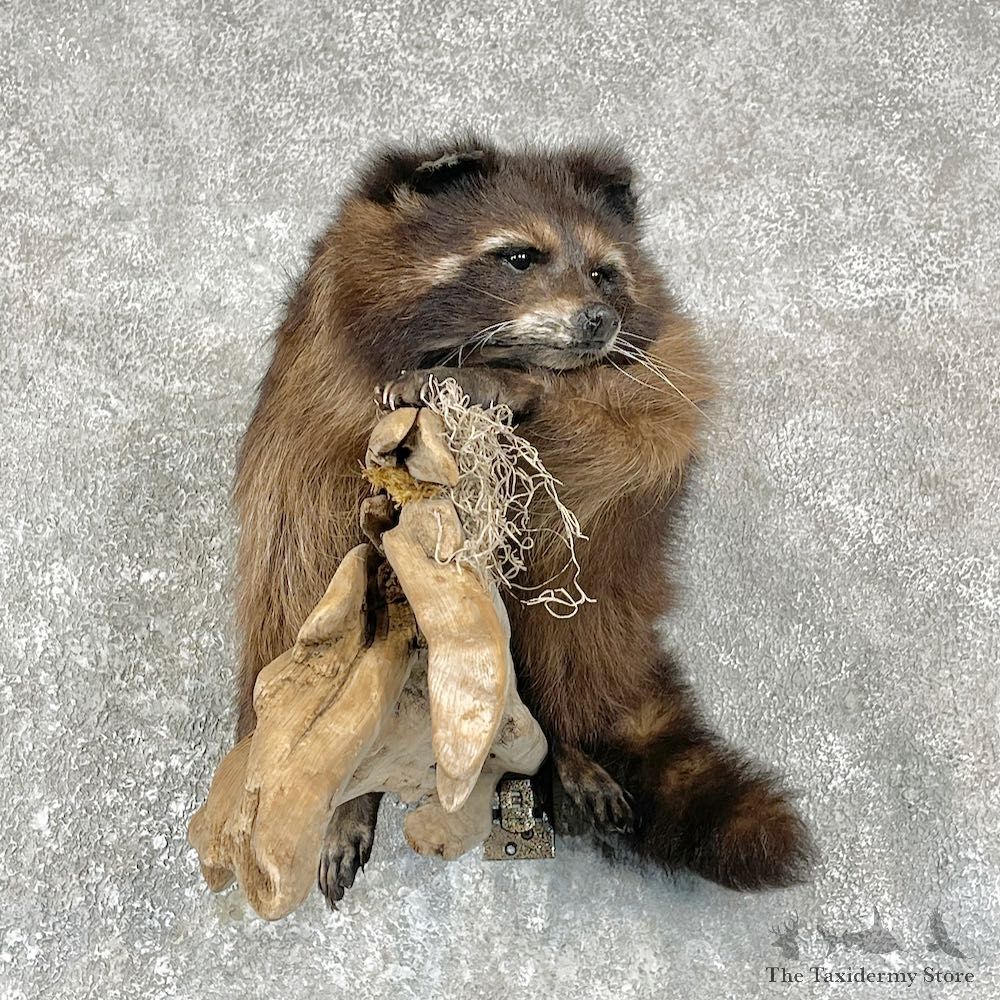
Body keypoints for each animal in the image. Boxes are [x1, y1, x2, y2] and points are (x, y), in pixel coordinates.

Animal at [234, 134, 814, 906]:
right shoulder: (318, 397)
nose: (598, 319)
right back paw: (352, 790)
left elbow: (646, 423)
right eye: (518, 257)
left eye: (604, 272)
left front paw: (506, 387)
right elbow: (324, 537)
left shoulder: (657, 369)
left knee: (563, 625)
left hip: (601, 605)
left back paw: (567, 742)